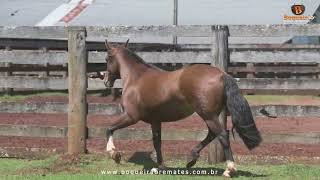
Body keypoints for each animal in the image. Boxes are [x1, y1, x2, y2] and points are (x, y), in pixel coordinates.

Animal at [91, 39, 262, 177]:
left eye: (107, 58)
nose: (106, 81)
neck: (136, 78)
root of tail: (221, 75)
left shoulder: (131, 116)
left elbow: (109, 128)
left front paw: (114, 154)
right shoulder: (155, 121)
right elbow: (157, 142)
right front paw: (159, 167)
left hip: (207, 115)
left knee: (222, 135)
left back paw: (229, 170)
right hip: (211, 115)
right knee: (212, 134)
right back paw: (191, 159)